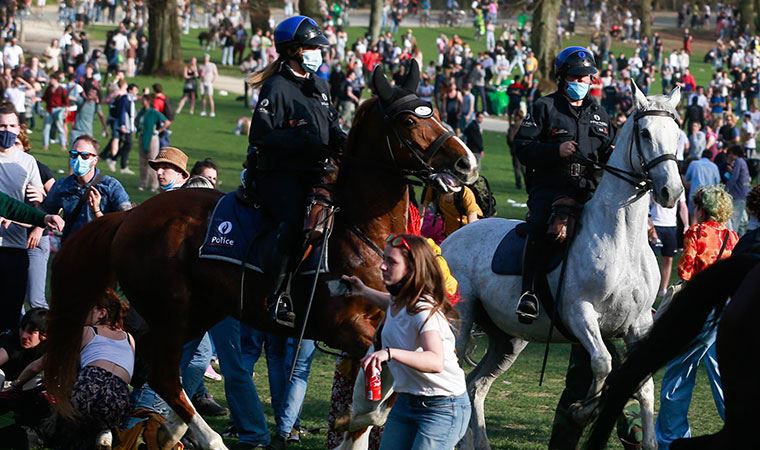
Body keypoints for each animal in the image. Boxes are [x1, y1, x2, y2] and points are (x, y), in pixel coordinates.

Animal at [43, 63, 476, 450]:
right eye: (409, 120)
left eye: (438, 112)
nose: (466, 163)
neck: (360, 232)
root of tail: (131, 216)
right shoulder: (348, 330)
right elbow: (376, 394)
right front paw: (357, 420)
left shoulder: (383, 328)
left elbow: (379, 391)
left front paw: (353, 426)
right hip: (172, 310)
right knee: (163, 372)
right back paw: (205, 439)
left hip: (200, 310)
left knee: (159, 367)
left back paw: (164, 430)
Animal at [442, 85, 684, 450]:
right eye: (645, 133)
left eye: (677, 133)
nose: (672, 192)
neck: (622, 241)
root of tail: (447, 242)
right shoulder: (580, 313)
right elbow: (602, 363)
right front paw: (582, 410)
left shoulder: (638, 324)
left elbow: (640, 384)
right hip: (459, 324)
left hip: (508, 340)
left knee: (475, 386)